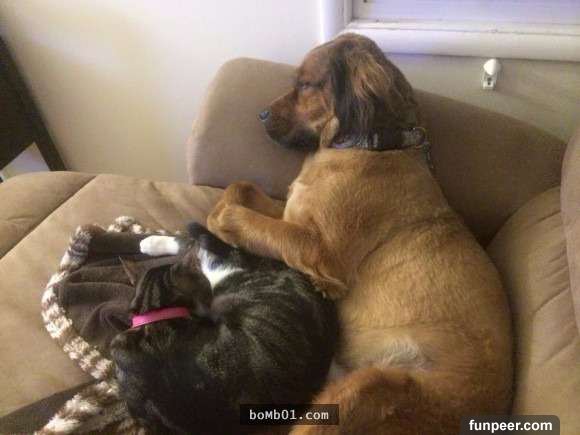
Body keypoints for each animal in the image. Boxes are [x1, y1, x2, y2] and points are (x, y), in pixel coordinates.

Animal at [110, 223, 338, 434]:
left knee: (204, 248)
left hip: (222, 276)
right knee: (199, 245)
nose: (205, 304)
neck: (156, 319)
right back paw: (150, 243)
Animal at [207, 33, 512, 434]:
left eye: (306, 85)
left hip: (368, 386)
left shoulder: (319, 251)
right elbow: (241, 188)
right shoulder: (293, 214)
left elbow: (245, 218)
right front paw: (222, 205)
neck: (369, 147)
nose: (259, 114)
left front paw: (220, 219)